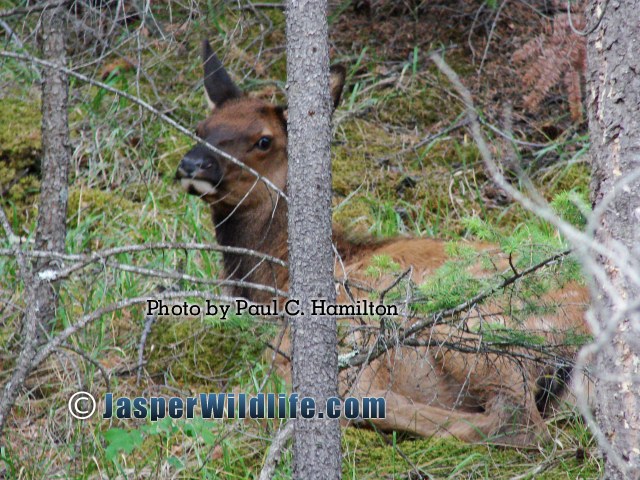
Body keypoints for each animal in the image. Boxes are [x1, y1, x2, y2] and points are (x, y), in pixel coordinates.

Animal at [175, 40, 592, 446]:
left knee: (516, 423)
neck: (273, 284)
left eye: (264, 140)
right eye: (200, 128)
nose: (192, 165)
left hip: (465, 326)